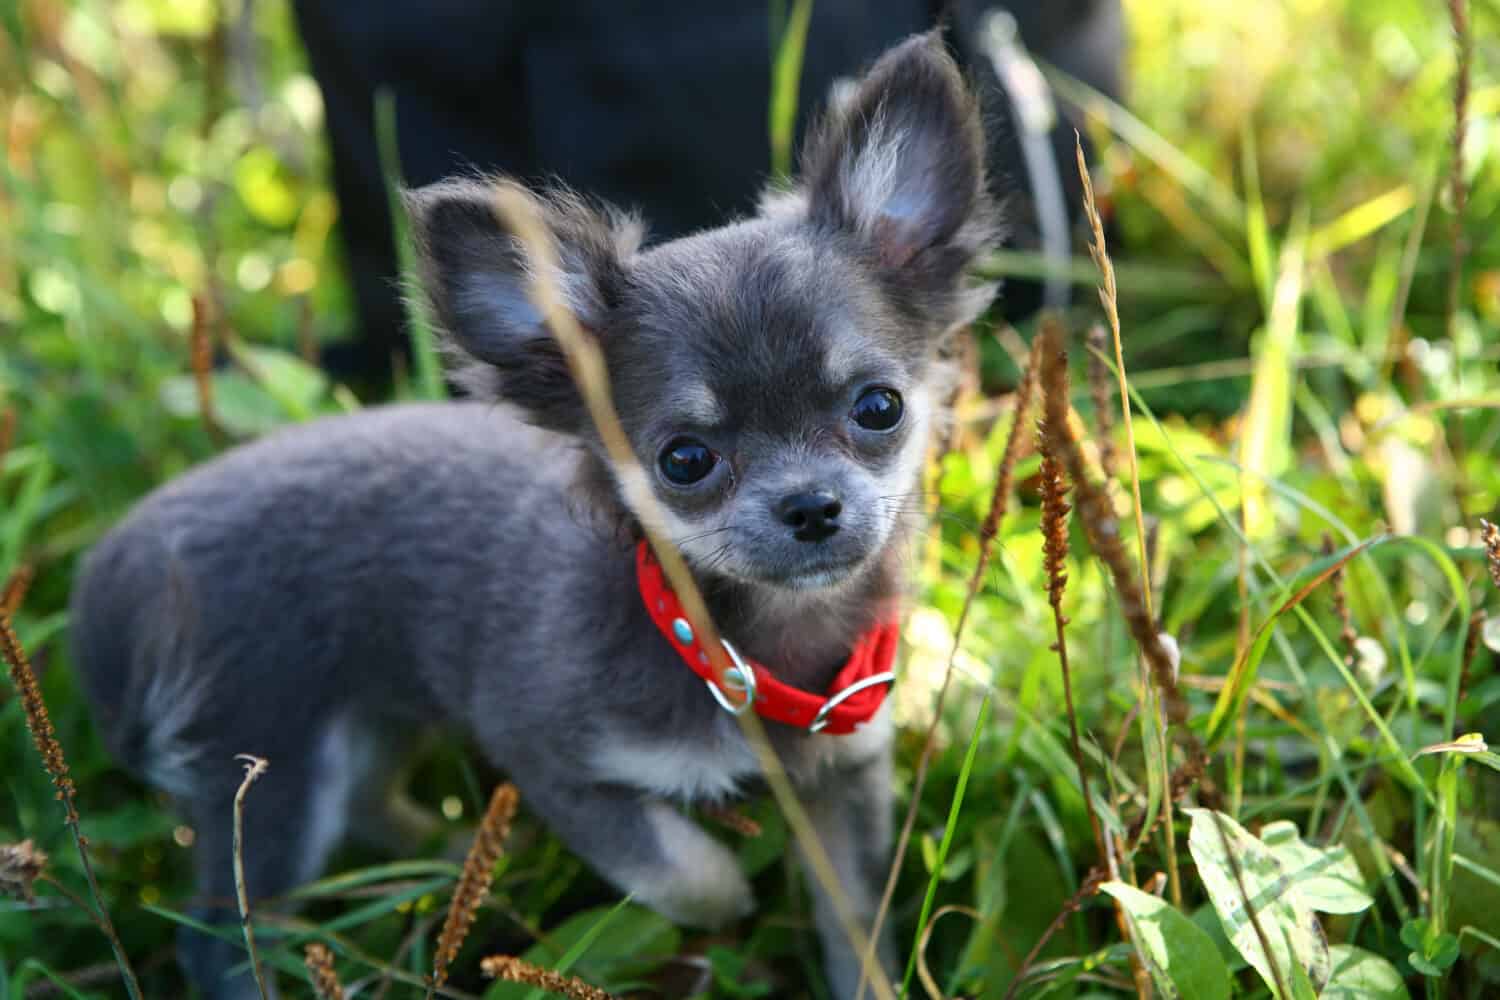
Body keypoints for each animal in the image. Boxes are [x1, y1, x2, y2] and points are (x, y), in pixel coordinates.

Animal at [76, 33, 1002, 1000]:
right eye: (685, 461)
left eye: (878, 407)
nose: (812, 506)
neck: (739, 648)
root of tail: (119, 566)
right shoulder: (556, 764)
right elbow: (686, 872)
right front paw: (728, 901)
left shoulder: (844, 783)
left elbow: (855, 924)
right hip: (268, 774)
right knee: (224, 934)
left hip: (365, 722)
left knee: (364, 802)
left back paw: (458, 860)